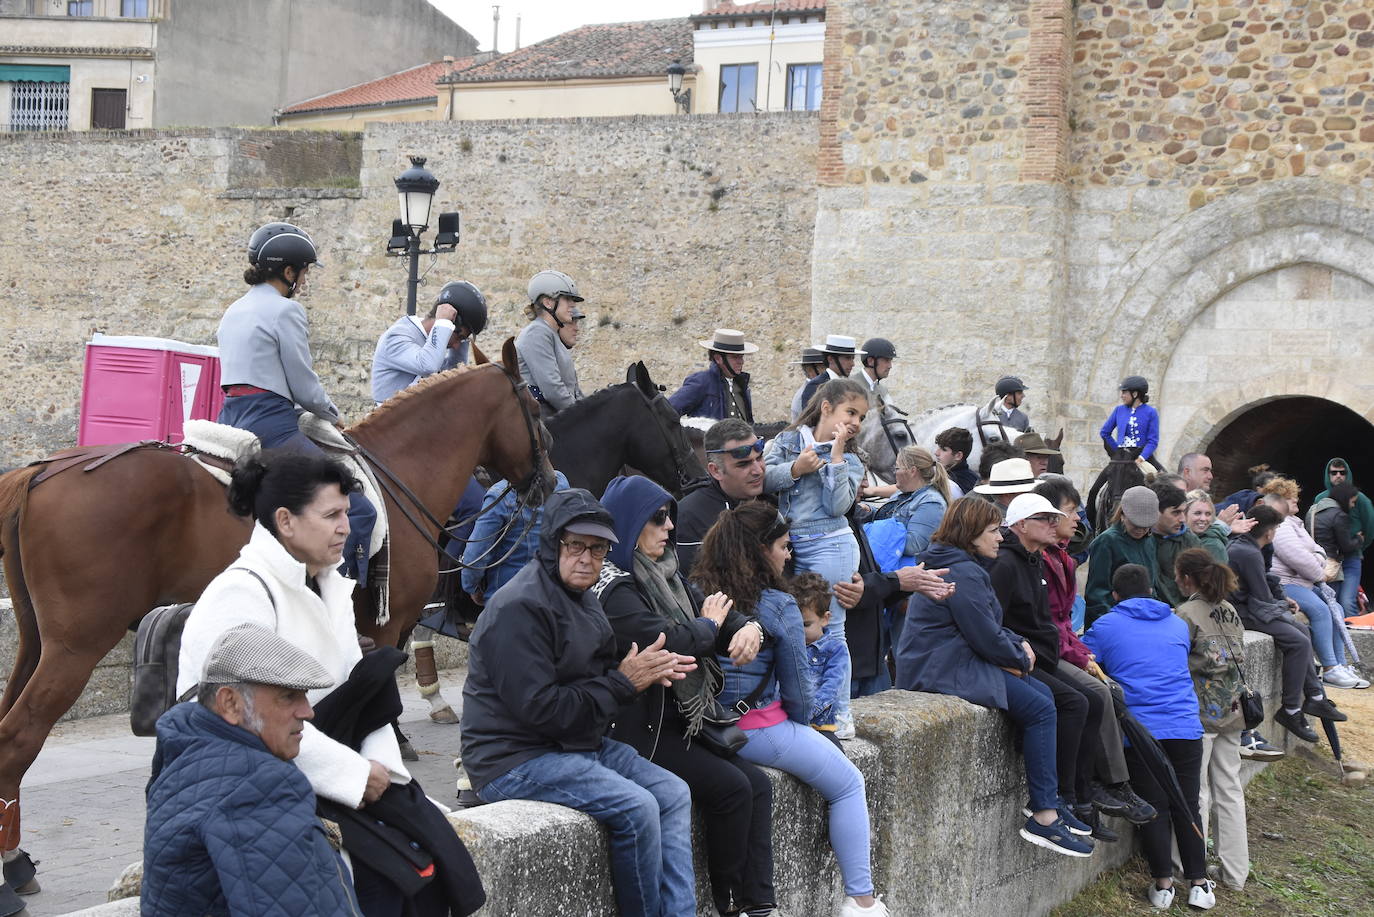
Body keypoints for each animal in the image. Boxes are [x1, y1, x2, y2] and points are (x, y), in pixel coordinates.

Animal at [0, 339, 549, 852]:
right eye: (535, 407)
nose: (546, 481)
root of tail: (42, 470)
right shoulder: (384, 625)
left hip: (37, 643)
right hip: (75, 648)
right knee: (19, 737)